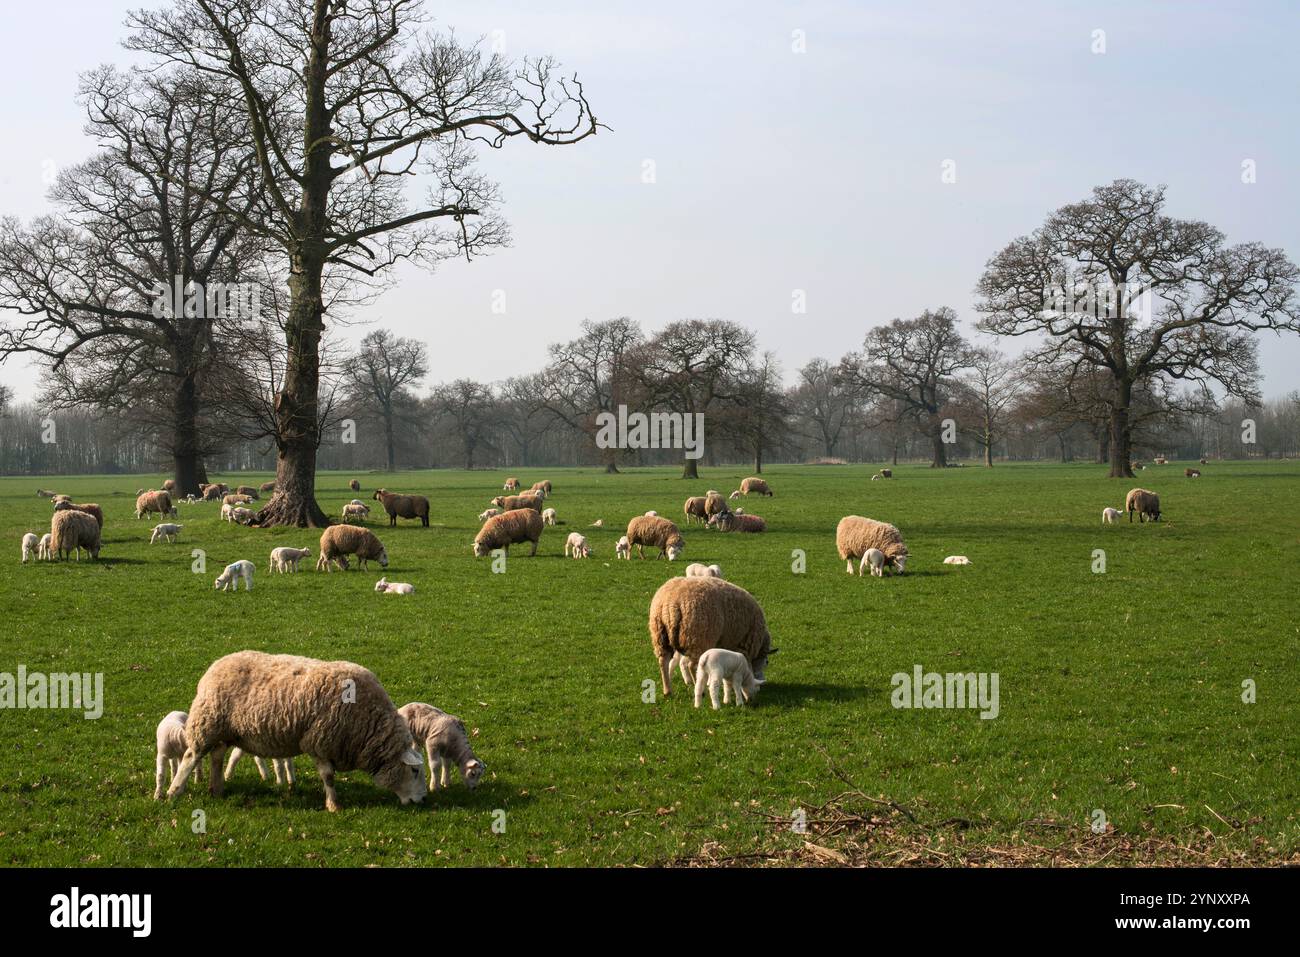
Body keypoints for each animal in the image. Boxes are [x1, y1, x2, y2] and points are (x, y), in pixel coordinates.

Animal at [162, 647, 426, 811]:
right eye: (414, 771)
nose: (422, 800)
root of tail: (215, 666)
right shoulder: (318, 742)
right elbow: (328, 777)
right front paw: (334, 805)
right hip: (207, 722)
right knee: (192, 756)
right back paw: (173, 792)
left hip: (226, 730)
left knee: (217, 757)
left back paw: (216, 789)